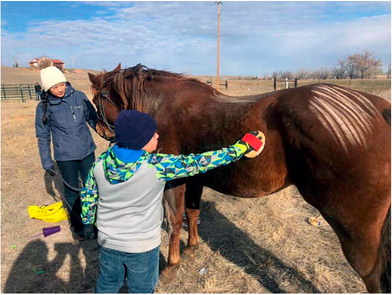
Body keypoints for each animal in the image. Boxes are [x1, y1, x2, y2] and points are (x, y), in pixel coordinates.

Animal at [87, 63, 390, 292]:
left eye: (97, 99)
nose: (101, 132)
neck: (162, 106)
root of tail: (377, 109)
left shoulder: (173, 180)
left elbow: (174, 221)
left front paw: (171, 267)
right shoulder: (195, 177)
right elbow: (192, 213)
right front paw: (192, 249)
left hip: (354, 228)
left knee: (372, 273)